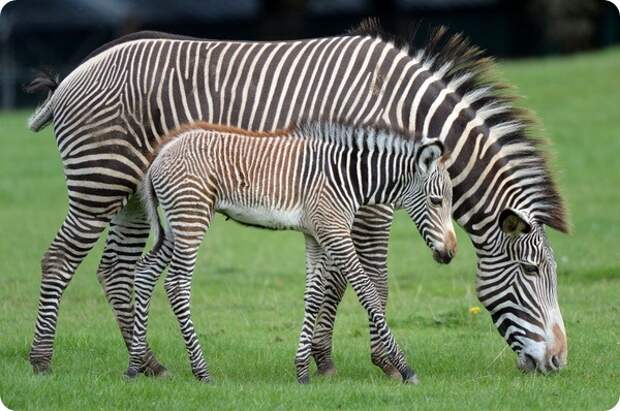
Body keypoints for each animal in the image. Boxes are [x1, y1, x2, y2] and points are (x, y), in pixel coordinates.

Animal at [127, 120, 456, 384]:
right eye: (436, 201)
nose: (450, 253)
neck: (348, 178)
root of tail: (161, 152)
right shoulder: (335, 232)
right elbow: (368, 292)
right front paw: (405, 369)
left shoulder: (316, 235)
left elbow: (313, 297)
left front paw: (302, 371)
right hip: (191, 218)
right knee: (176, 285)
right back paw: (201, 371)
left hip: (174, 226)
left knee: (144, 273)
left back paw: (134, 367)